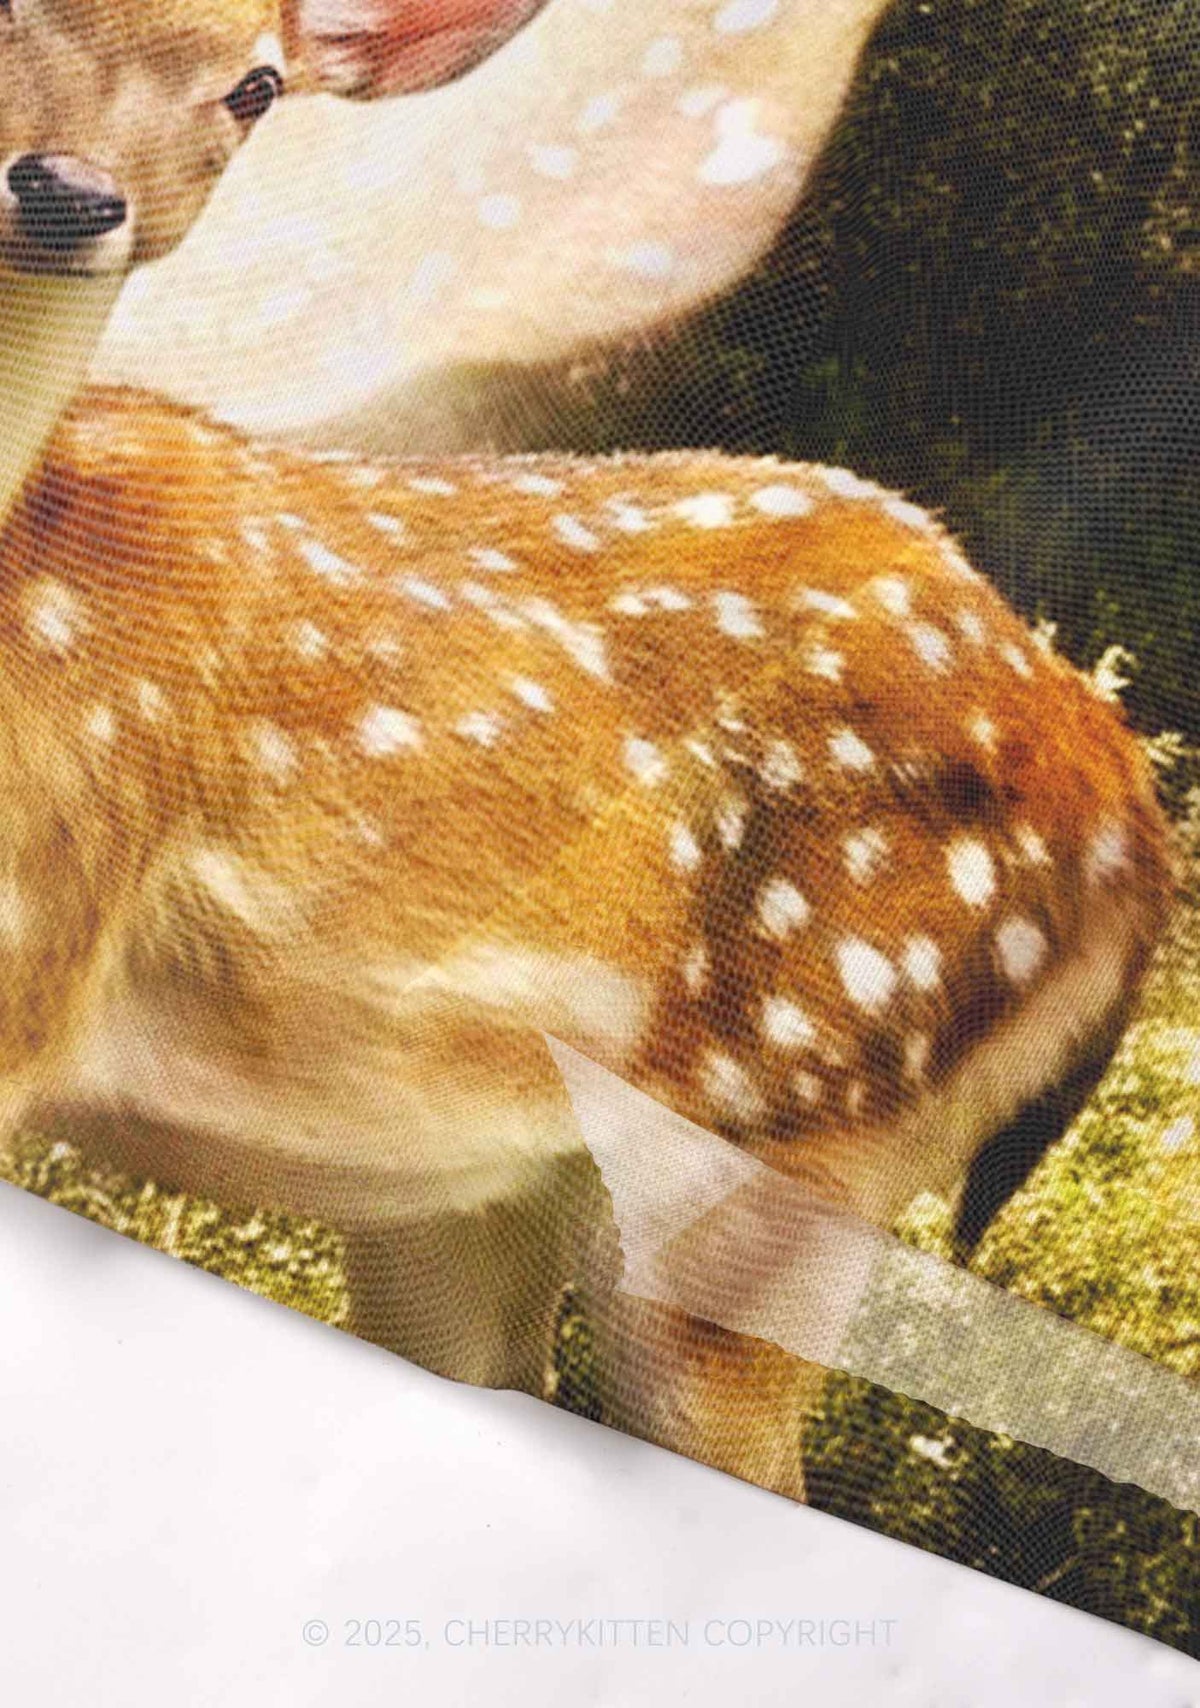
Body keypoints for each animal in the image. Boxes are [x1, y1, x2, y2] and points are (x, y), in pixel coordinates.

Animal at [0, 0, 1173, 1505]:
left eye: (255, 85)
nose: (68, 192)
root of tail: (1129, 786)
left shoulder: (33, 966)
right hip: (474, 1189)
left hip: (796, 1134)